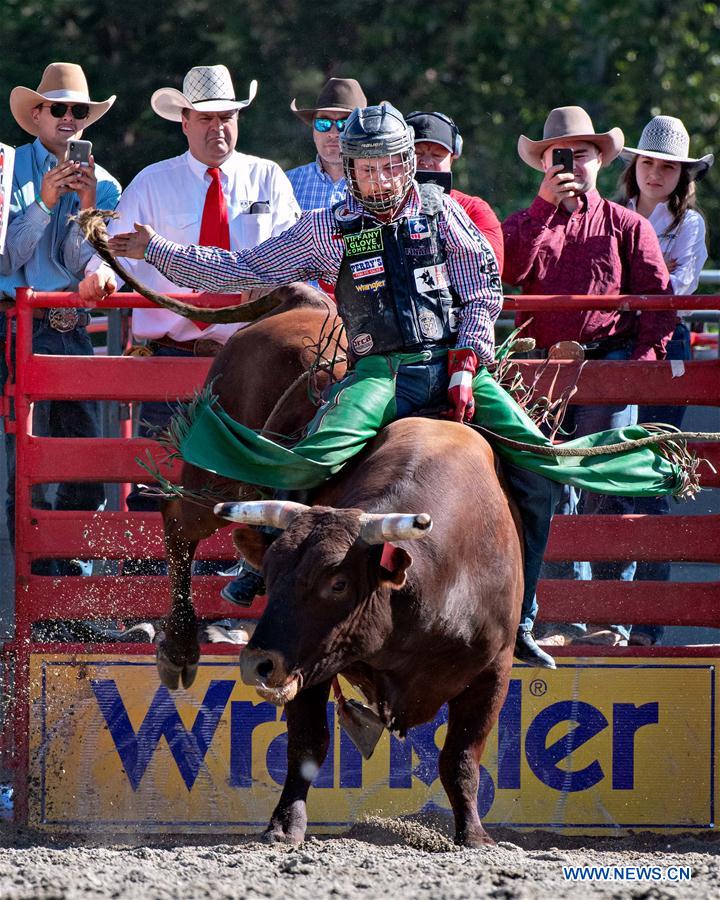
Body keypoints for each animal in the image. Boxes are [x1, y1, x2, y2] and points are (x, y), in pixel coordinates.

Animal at [221, 418, 524, 848]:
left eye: (338, 583)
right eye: (269, 572)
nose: (259, 663)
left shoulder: (493, 671)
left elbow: (461, 758)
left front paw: (473, 835)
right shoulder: (315, 663)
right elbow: (306, 746)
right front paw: (283, 826)